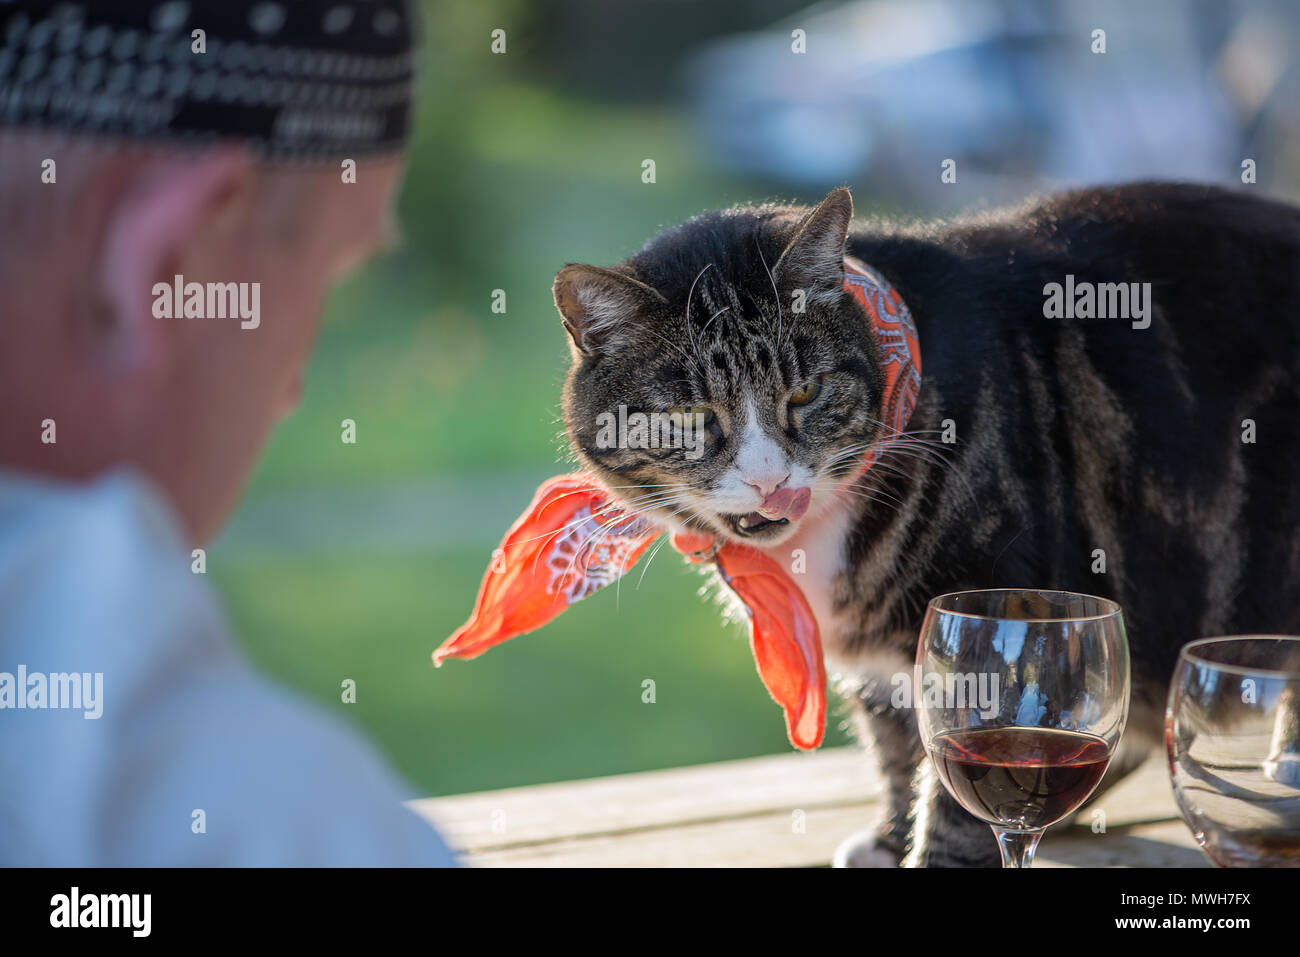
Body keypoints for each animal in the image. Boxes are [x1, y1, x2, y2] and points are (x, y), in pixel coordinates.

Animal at [548, 180, 1300, 868]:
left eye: (805, 393)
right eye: (693, 416)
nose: (769, 479)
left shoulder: (1004, 624)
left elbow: (961, 798)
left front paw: (941, 848)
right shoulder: (881, 660)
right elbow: (896, 742)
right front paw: (891, 837)